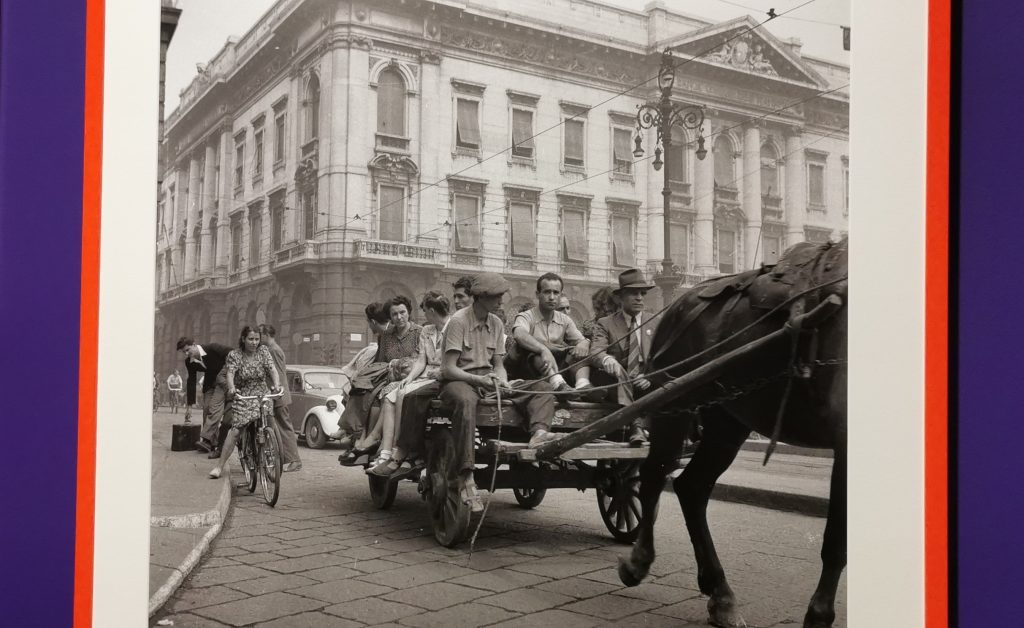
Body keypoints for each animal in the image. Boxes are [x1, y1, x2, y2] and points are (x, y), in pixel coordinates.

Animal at [618, 236, 851, 626]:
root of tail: (678, 302)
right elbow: (836, 536)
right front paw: (819, 614)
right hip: (673, 405)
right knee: (654, 475)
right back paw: (639, 562)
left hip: (727, 419)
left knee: (691, 486)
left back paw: (720, 594)